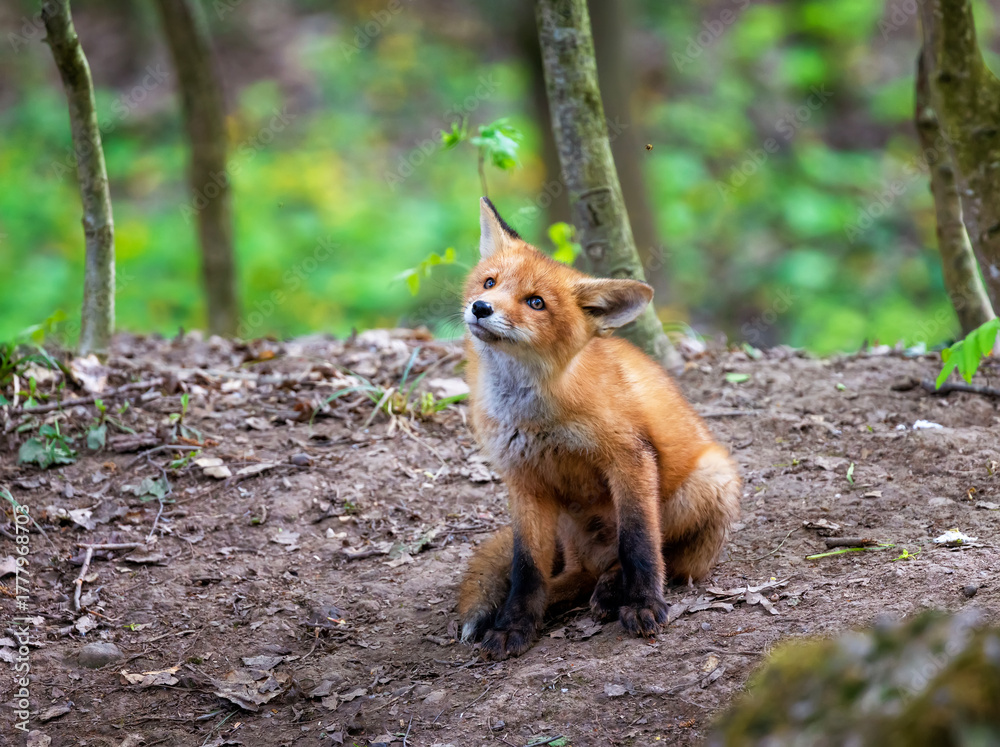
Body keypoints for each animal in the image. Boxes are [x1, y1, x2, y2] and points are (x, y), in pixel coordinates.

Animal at [456, 197, 742, 660]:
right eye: (489, 282)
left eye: (535, 302)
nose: (481, 307)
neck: (532, 415)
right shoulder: (524, 480)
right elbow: (526, 569)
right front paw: (514, 625)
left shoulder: (629, 457)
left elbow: (639, 543)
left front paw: (643, 604)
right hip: (570, 528)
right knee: (578, 575)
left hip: (710, 481)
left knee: (657, 560)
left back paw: (613, 591)